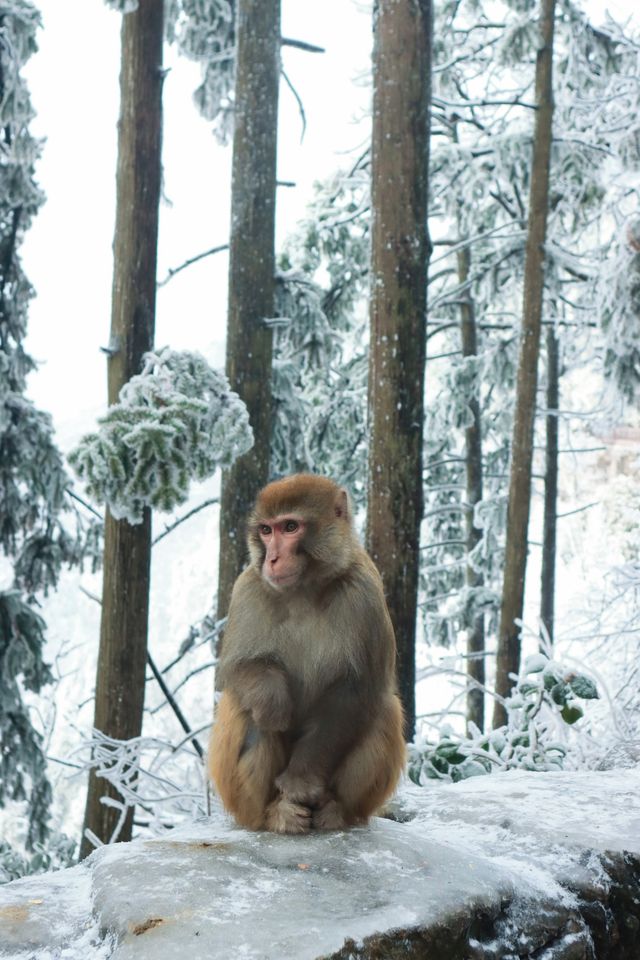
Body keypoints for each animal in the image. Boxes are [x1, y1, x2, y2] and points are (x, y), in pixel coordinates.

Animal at [212, 472, 408, 832]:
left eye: (290, 527)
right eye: (266, 530)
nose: (272, 559)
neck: (304, 590)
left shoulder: (365, 593)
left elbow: (356, 689)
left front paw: (300, 782)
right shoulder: (248, 590)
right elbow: (237, 670)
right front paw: (272, 699)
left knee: (384, 708)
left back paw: (337, 810)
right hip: (240, 802)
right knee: (242, 707)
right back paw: (273, 814)